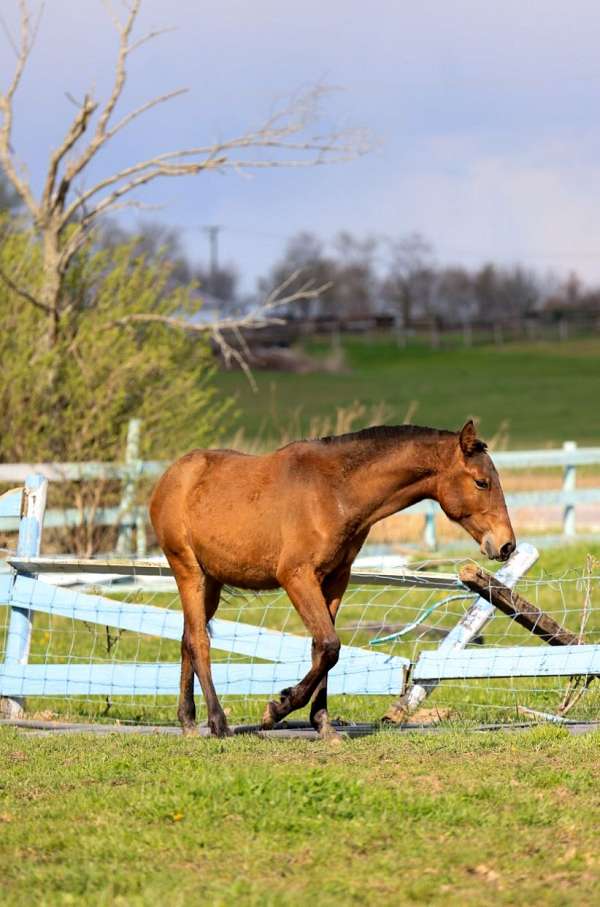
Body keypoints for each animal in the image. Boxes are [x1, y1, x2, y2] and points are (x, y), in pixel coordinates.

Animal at [150, 422, 516, 740]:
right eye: (482, 482)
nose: (506, 545)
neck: (334, 491)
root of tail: (170, 477)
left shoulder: (335, 580)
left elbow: (323, 650)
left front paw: (322, 724)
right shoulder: (297, 577)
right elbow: (329, 645)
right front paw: (278, 708)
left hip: (211, 582)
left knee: (187, 639)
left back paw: (187, 721)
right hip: (189, 572)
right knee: (199, 642)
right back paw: (218, 723)